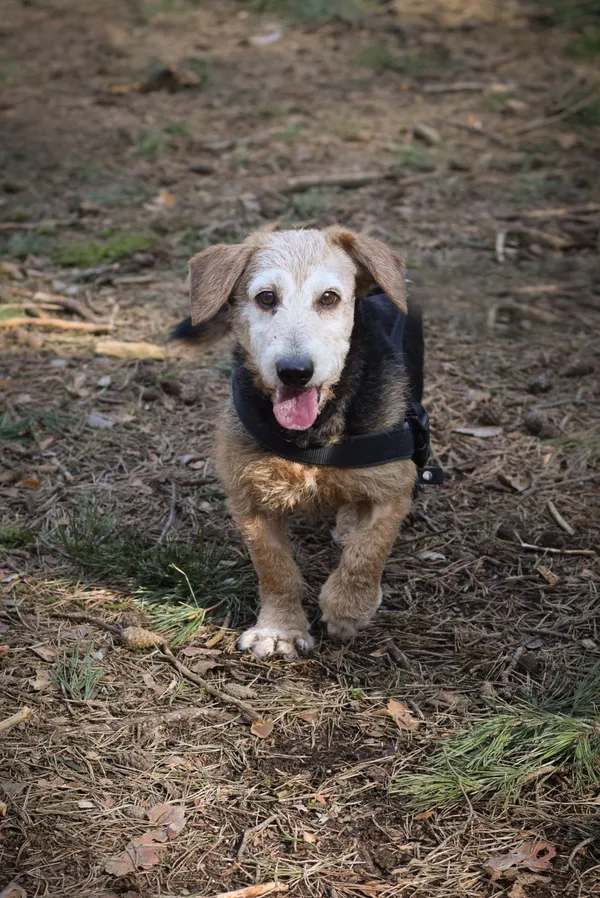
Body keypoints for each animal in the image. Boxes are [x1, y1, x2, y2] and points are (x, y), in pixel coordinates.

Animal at [171, 226, 434, 656]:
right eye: (266, 297)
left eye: (329, 298)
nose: (295, 372)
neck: (313, 436)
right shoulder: (249, 500)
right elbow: (275, 568)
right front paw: (280, 630)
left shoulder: (396, 486)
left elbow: (368, 550)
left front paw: (348, 607)